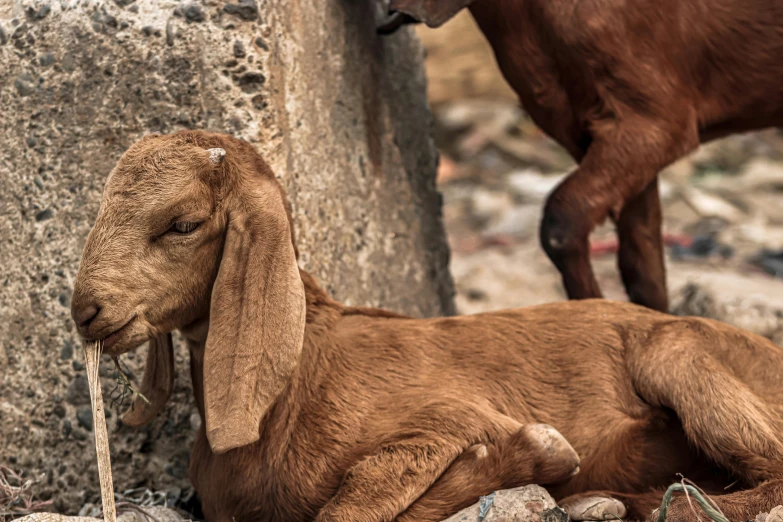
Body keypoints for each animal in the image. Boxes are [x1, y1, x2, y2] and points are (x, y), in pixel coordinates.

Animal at [70, 131, 783, 520]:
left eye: (183, 223)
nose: (85, 311)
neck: (295, 384)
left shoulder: (449, 418)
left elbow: (348, 507)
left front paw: (542, 456)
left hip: (677, 355)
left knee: (769, 472)